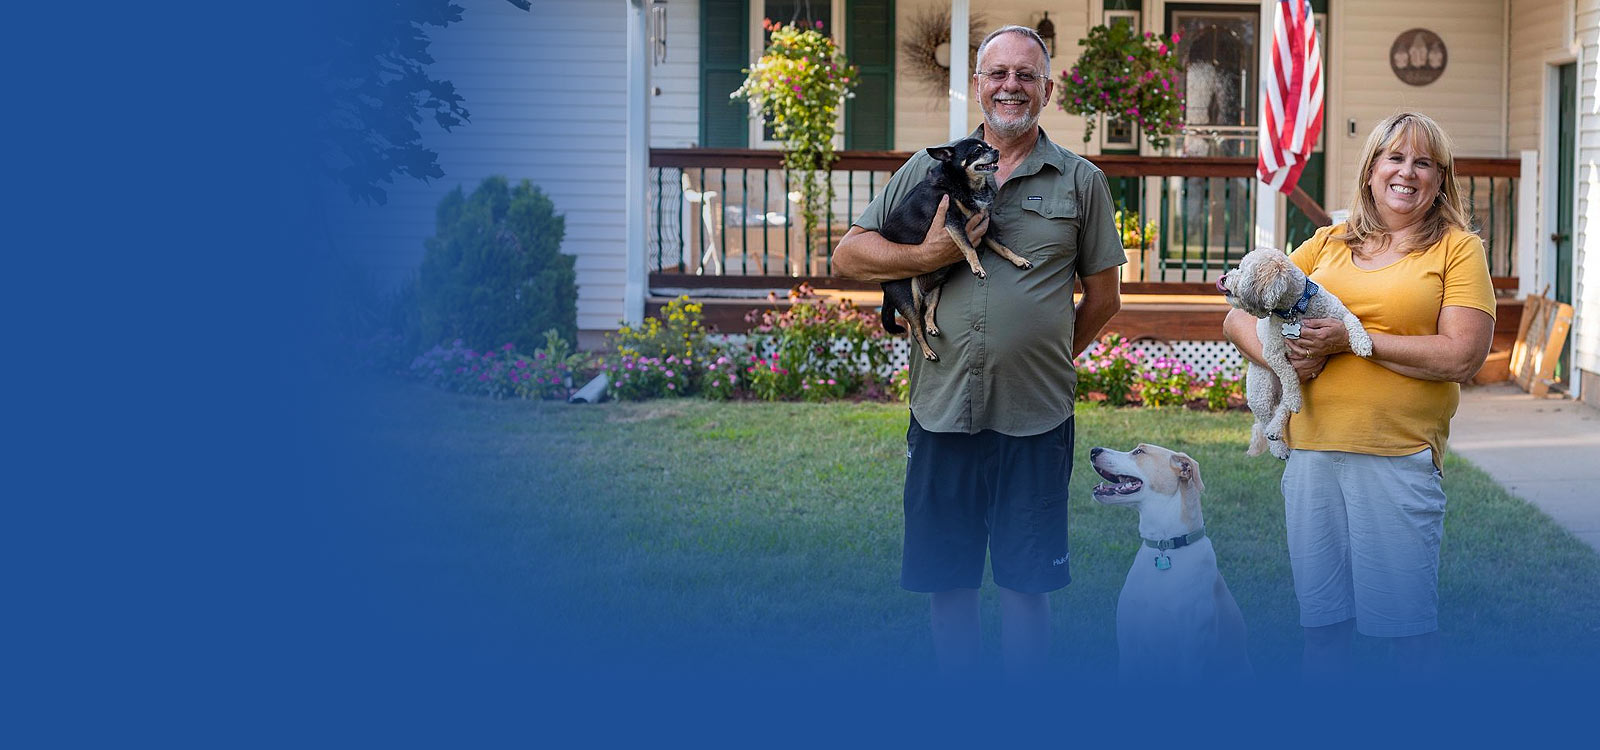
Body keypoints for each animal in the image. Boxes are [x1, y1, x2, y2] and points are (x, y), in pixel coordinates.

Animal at [883, 136, 1030, 359]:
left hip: (936, 290)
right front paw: (978, 268)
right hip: (909, 298)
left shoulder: (984, 228)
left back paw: (932, 327)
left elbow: (1003, 247)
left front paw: (1019, 260)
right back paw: (928, 351)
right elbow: (968, 247)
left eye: (988, 146)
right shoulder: (952, 221)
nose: (996, 150)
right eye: (977, 151)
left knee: (928, 312)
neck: (969, 186)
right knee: (915, 329)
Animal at [1216, 246, 1369, 457]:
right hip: (1261, 391)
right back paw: (1277, 442)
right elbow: (1288, 374)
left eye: (1243, 270)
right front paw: (1295, 398)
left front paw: (1363, 343)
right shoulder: (1272, 353)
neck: (1295, 309)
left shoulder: (1341, 314)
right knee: (1267, 417)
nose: (1223, 279)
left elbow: (1353, 321)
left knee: (1281, 408)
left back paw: (1276, 427)